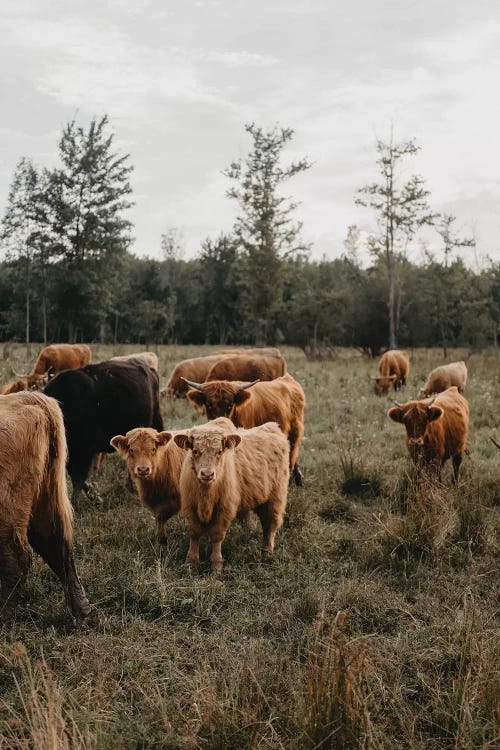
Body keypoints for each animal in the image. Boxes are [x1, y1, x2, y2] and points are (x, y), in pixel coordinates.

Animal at [44, 360, 162, 512]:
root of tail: (149, 370)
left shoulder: (84, 451)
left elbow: (78, 477)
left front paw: (76, 505)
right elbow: (77, 477)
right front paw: (95, 499)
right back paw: (130, 487)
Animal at [174, 420, 290, 572]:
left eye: (219, 451)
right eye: (195, 451)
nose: (207, 474)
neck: (205, 495)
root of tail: (272, 427)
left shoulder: (224, 510)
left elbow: (217, 536)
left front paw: (216, 565)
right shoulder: (190, 507)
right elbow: (194, 533)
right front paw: (191, 562)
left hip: (276, 498)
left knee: (269, 525)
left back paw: (267, 552)